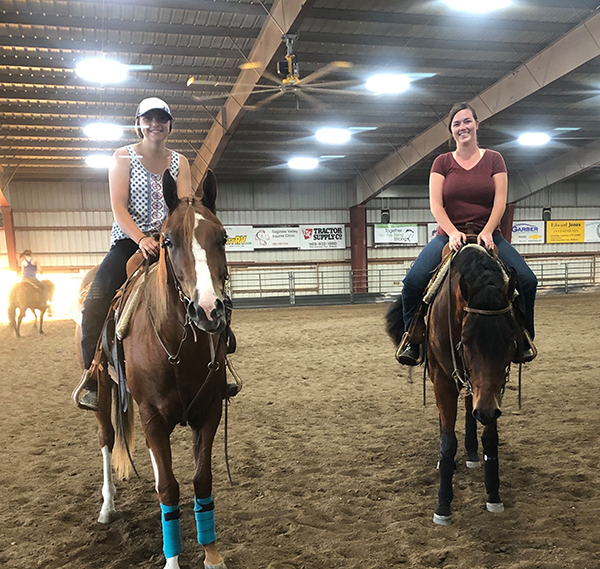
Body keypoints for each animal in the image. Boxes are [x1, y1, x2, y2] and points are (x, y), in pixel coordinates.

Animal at [74, 170, 232, 568]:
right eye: (168, 241)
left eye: (222, 237)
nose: (209, 310)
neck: (178, 345)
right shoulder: (150, 414)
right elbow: (168, 488)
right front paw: (172, 559)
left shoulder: (208, 412)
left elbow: (201, 480)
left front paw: (212, 554)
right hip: (103, 390)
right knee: (106, 439)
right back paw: (107, 508)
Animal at [390, 243, 520, 524]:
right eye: (467, 339)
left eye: (510, 339)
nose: (486, 411)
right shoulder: (443, 381)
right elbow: (447, 442)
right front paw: (443, 505)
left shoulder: (492, 389)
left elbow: (489, 437)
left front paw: (493, 494)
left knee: (471, 411)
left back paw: (471, 453)